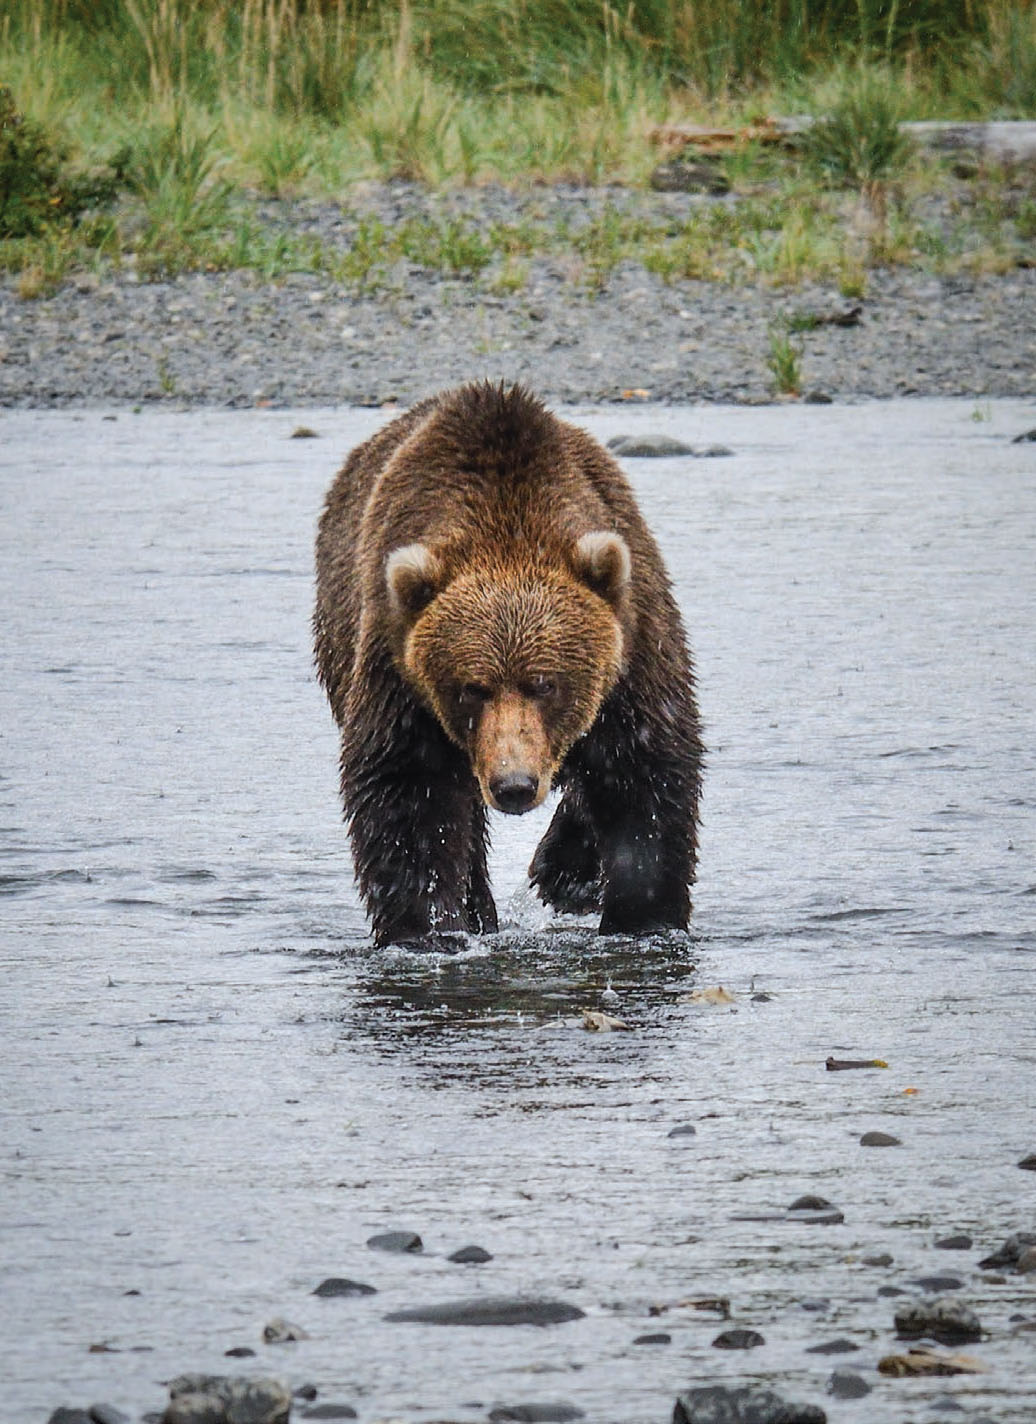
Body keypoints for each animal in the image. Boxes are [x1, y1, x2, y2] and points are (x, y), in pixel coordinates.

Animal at [313, 384, 703, 951]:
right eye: (472, 688)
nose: (514, 786)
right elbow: (409, 796)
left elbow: (644, 773)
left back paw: (564, 873)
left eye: (545, 683)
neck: (508, 524)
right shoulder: (399, 670)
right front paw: (427, 928)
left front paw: (642, 916)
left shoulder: (634, 648)